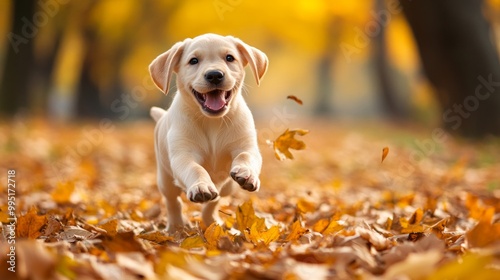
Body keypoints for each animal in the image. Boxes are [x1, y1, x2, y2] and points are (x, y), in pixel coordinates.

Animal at [147, 34, 268, 233]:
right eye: (193, 61)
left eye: (229, 58)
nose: (214, 75)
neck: (212, 122)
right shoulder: (183, 155)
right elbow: (195, 169)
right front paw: (201, 186)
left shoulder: (247, 146)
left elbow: (245, 156)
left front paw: (247, 173)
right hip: (165, 179)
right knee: (173, 202)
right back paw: (175, 227)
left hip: (228, 187)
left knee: (216, 199)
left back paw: (212, 221)